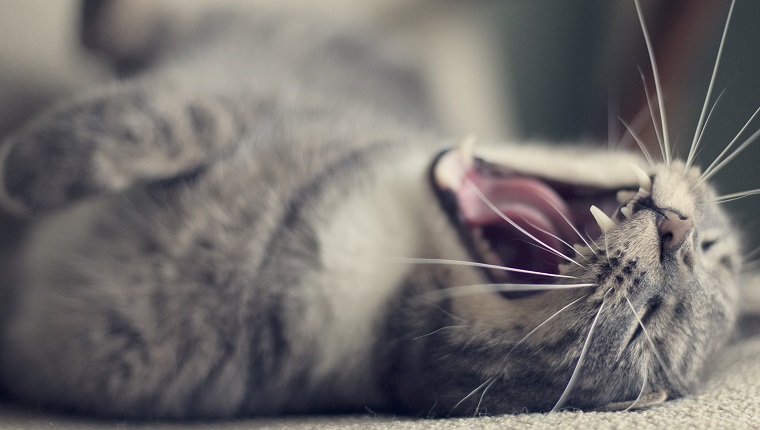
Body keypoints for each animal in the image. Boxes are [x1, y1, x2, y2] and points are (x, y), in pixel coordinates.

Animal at [0, 0, 756, 420]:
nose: (677, 230)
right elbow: (160, 120)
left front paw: (12, 178)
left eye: (643, 330)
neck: (386, 254)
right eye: (712, 251)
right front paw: (31, 165)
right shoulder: (264, 103)